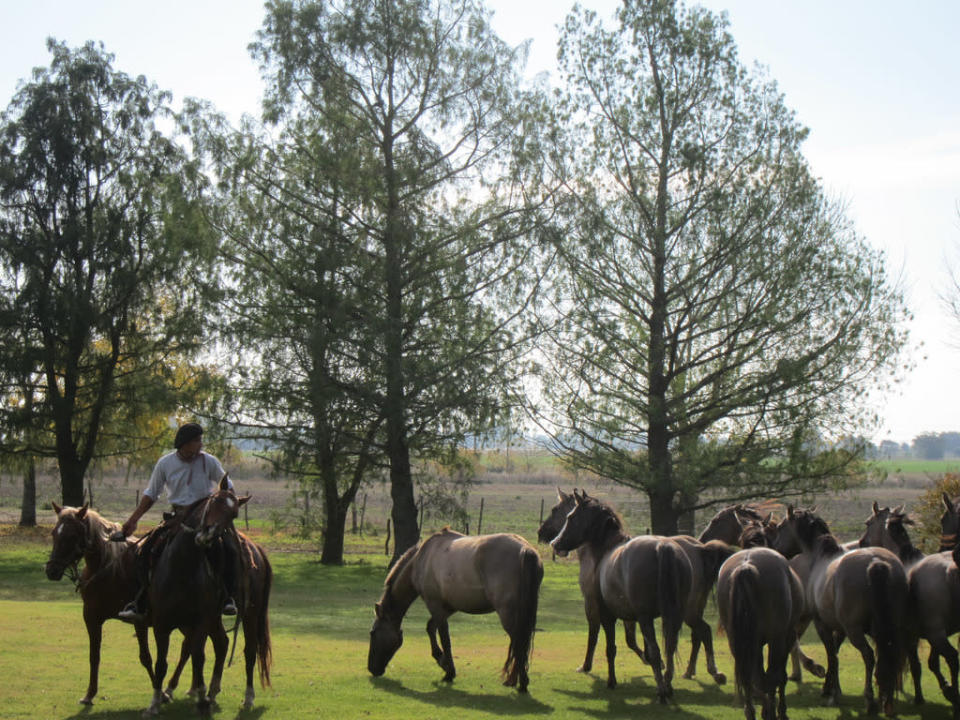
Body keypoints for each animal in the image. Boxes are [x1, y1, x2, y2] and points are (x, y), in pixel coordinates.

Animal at [368, 528, 544, 692]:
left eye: (373, 633)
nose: (372, 669)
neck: (422, 559)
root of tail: (525, 549)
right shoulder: (447, 607)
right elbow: (431, 628)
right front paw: (442, 661)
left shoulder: (435, 605)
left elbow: (444, 638)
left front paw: (448, 671)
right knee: (519, 644)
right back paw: (513, 680)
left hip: (508, 614)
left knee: (519, 643)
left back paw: (522, 683)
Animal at [548, 492, 688, 700]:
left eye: (570, 517)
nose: (555, 544)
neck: (607, 549)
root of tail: (662, 547)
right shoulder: (628, 616)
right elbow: (632, 643)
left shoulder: (605, 614)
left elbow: (609, 646)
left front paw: (610, 680)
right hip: (673, 616)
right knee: (670, 647)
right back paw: (667, 684)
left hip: (646, 618)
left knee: (656, 650)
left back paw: (662, 691)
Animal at [716, 544, 808, 720]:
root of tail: (746, 566)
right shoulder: (786, 638)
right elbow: (780, 676)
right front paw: (780, 711)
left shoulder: (754, 643)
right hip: (776, 639)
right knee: (771, 676)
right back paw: (771, 711)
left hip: (737, 642)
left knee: (750, 677)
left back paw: (752, 712)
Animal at [772, 506, 908, 716]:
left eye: (780, 527)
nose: (775, 550)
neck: (821, 557)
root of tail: (876, 562)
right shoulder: (840, 627)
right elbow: (834, 653)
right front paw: (830, 687)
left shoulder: (823, 625)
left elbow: (832, 655)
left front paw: (832, 692)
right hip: (887, 630)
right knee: (888, 658)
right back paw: (887, 702)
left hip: (855, 631)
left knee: (869, 657)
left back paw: (870, 700)